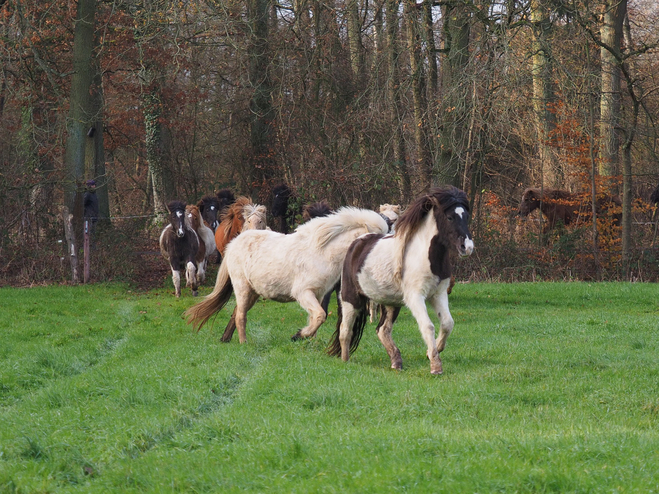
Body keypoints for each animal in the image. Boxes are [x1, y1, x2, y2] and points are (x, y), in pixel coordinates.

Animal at [184, 207, 392, 344]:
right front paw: (298, 335)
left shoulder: (317, 294)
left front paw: (309, 342)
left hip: (253, 292)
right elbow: (320, 316)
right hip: (242, 288)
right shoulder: (303, 293)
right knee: (240, 316)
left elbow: (317, 317)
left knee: (236, 313)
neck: (322, 252)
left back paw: (226, 339)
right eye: (375, 239)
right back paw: (244, 343)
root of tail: (233, 243)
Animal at [328, 187, 474, 376]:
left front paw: (432, 352)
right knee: (345, 331)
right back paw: (346, 361)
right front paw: (435, 366)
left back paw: (396, 363)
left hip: (391, 303)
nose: (467, 248)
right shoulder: (415, 297)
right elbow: (428, 326)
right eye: (450, 217)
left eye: (466, 216)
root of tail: (357, 243)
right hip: (350, 298)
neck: (427, 256)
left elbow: (448, 323)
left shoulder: (438, 294)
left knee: (382, 330)